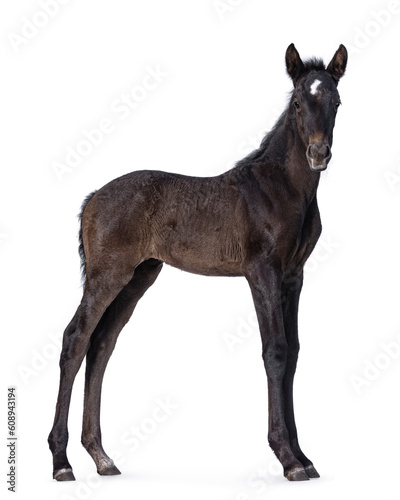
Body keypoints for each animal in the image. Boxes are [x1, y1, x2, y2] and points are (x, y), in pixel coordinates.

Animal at [47, 45, 346, 482]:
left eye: (336, 101)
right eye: (296, 102)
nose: (318, 154)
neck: (282, 189)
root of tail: (93, 199)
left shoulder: (294, 276)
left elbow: (292, 352)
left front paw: (304, 457)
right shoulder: (262, 273)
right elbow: (274, 351)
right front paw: (288, 460)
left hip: (138, 277)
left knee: (101, 344)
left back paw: (102, 457)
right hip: (107, 276)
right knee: (76, 339)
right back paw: (61, 462)